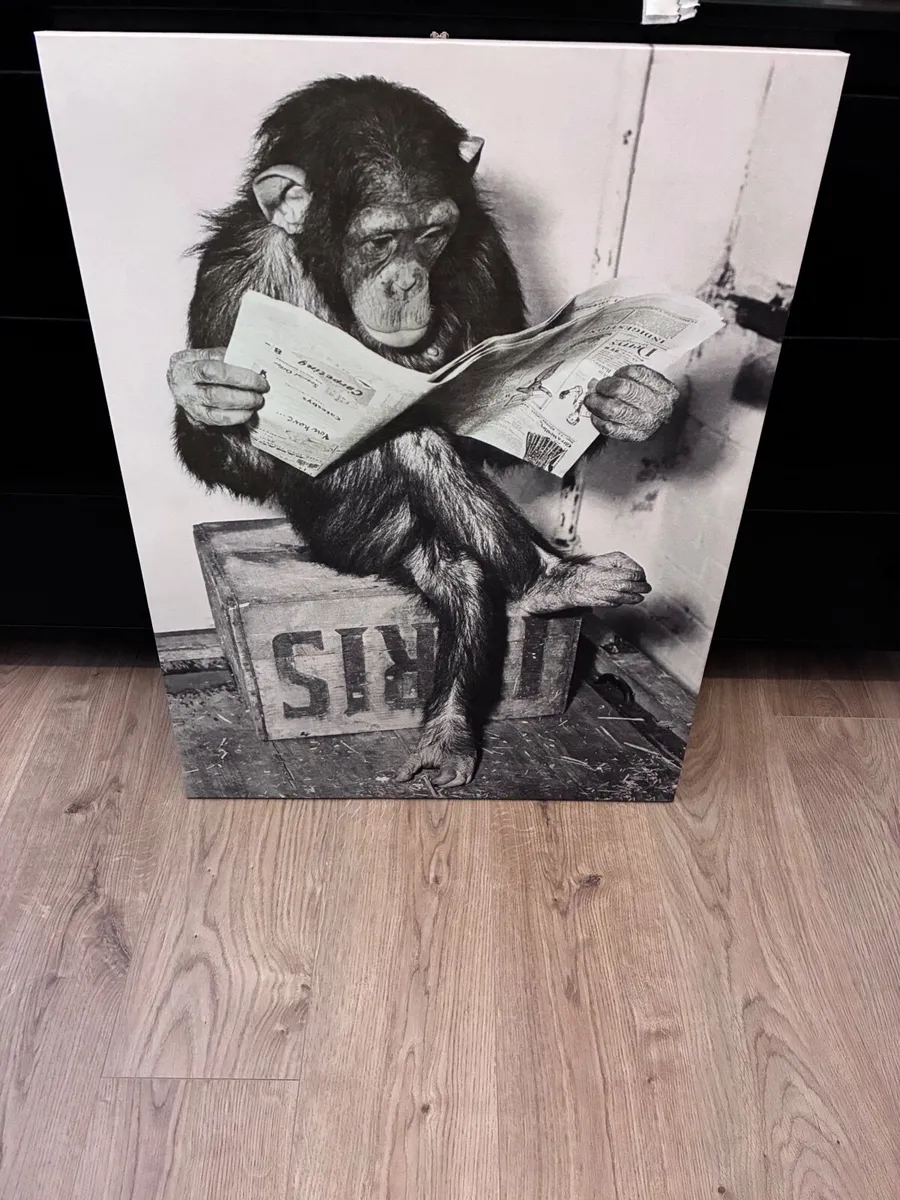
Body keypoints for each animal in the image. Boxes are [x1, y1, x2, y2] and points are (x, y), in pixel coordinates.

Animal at [168, 76, 678, 789]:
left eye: (433, 233)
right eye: (381, 239)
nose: (407, 280)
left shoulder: (485, 251)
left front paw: (629, 401)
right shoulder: (228, 277)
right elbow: (241, 452)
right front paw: (205, 391)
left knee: (459, 572)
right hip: (352, 538)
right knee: (411, 454)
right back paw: (543, 586)